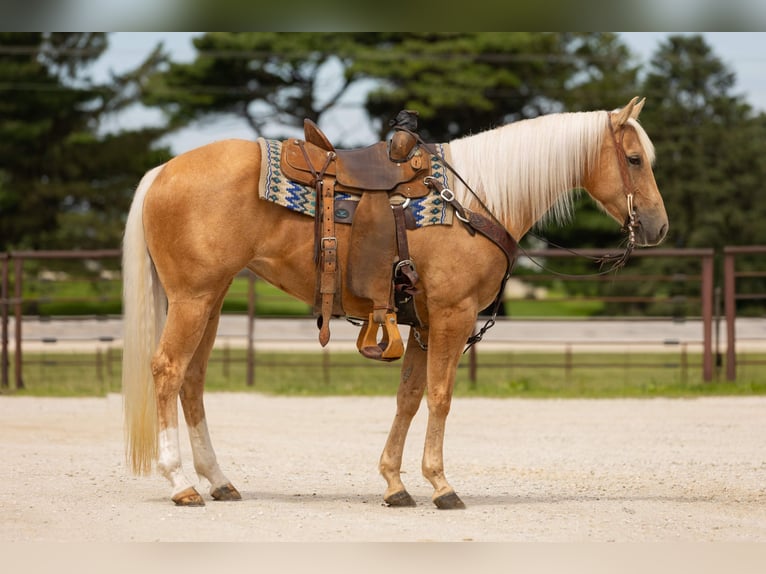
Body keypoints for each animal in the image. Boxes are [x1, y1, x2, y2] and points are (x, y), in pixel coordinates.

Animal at [122, 97, 668, 509]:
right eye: (634, 160)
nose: (658, 227)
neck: (474, 200)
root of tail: (164, 170)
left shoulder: (421, 321)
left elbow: (409, 396)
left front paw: (395, 483)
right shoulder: (451, 315)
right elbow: (441, 396)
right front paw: (442, 485)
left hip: (210, 301)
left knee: (193, 381)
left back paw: (219, 481)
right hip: (193, 299)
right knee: (168, 371)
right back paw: (182, 484)